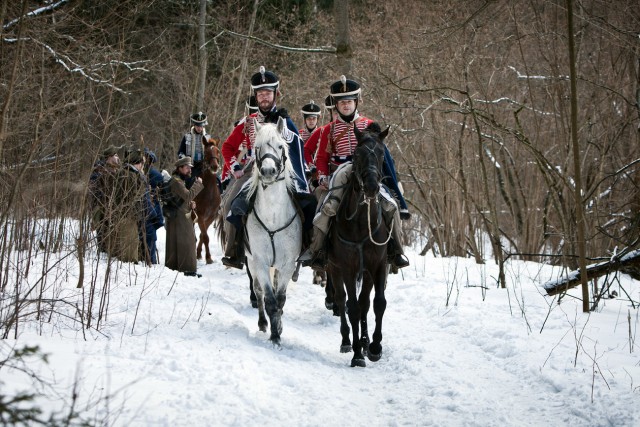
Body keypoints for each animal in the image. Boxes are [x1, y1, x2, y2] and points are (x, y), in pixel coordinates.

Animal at [246, 117, 304, 348]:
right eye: (257, 147)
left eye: (280, 146)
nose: (269, 171)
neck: (273, 216)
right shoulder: (260, 261)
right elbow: (269, 300)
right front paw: (274, 336)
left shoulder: (287, 264)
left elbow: (280, 300)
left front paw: (278, 329)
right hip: (251, 262)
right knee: (259, 291)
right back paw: (263, 323)